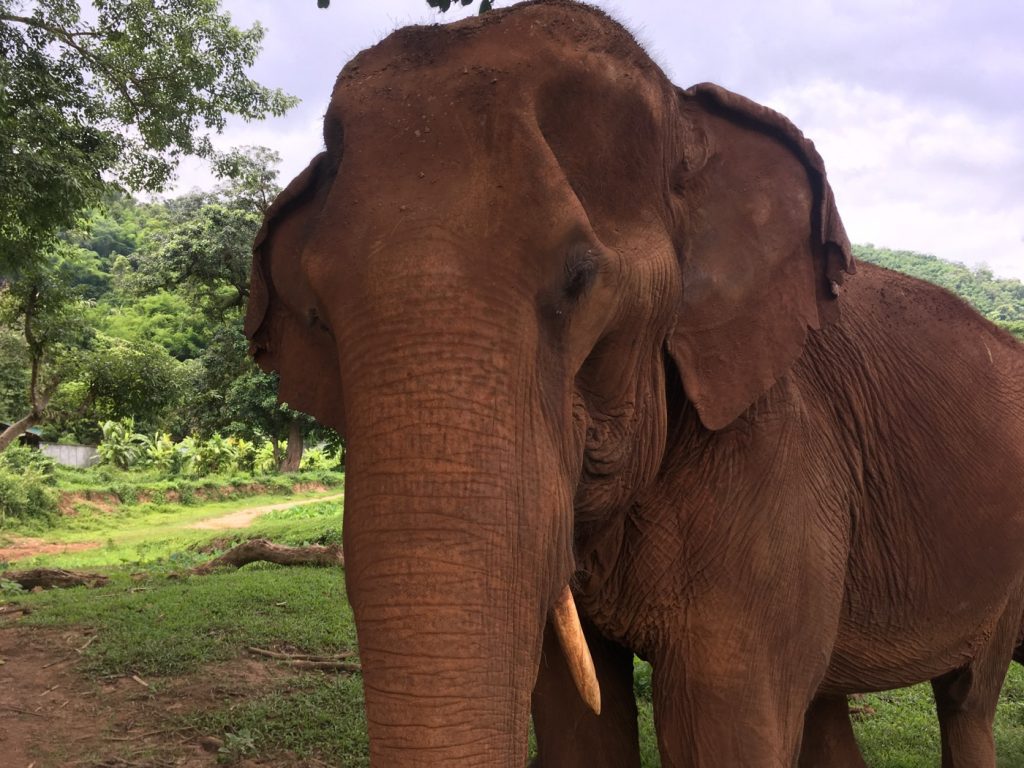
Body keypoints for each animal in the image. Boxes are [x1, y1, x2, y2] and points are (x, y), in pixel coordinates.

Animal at [243, 1, 1024, 768]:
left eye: (580, 278)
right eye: (316, 314)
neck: (690, 117)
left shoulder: (779, 459)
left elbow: (725, 730)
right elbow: (578, 725)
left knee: (967, 698)